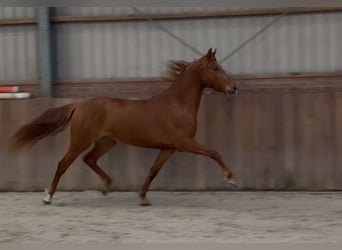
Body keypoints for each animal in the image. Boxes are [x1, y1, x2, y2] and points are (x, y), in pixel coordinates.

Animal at [8, 48, 238, 205]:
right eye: (216, 68)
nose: (233, 88)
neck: (177, 104)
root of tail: (79, 105)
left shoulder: (168, 148)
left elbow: (153, 170)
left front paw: (143, 197)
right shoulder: (184, 143)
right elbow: (214, 152)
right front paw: (231, 180)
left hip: (106, 142)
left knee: (89, 159)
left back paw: (107, 186)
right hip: (80, 142)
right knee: (63, 164)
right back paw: (48, 196)